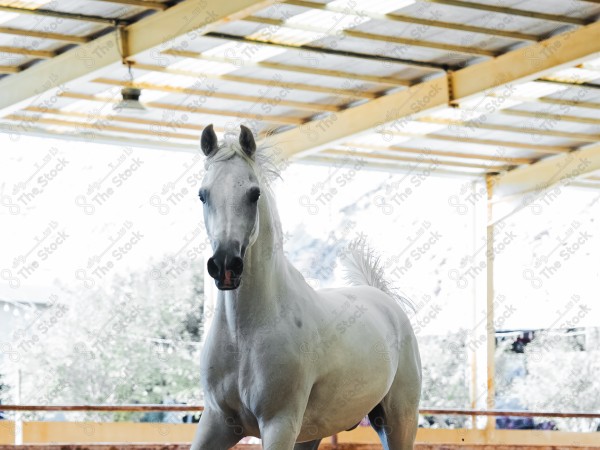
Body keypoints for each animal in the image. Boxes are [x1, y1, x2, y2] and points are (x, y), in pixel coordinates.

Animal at [192, 125, 422, 450]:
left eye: (254, 193)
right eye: (203, 194)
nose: (225, 265)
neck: (244, 335)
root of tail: (384, 299)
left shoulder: (279, 424)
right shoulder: (216, 421)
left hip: (398, 419)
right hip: (313, 432)